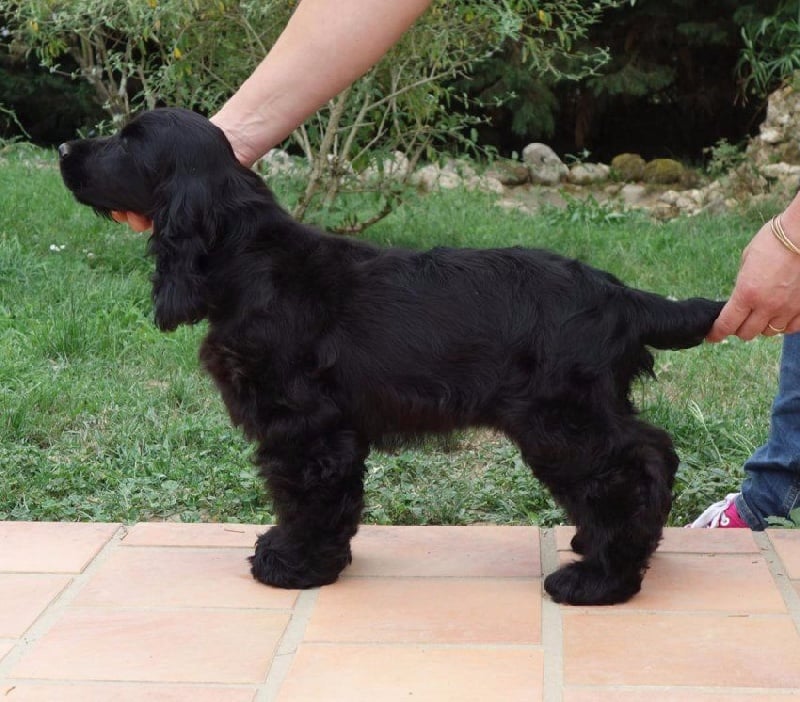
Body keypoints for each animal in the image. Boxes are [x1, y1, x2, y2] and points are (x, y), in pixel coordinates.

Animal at [59, 108, 723, 605]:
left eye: (127, 142)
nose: (63, 146)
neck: (248, 257)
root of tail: (619, 294)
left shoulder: (305, 422)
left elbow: (306, 495)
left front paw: (294, 563)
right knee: (646, 455)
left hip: (561, 417)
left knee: (635, 466)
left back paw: (600, 579)